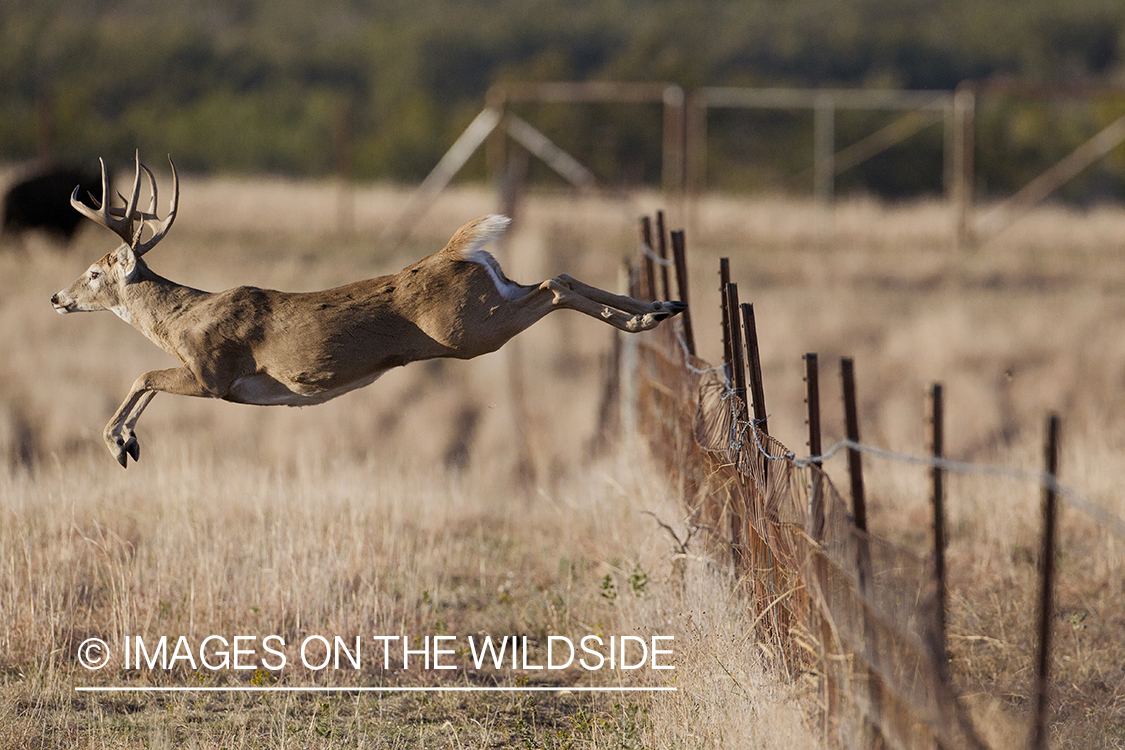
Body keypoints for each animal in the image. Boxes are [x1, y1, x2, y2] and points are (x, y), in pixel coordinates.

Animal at [50, 155, 684, 465]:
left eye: (93, 272)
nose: (57, 298)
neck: (181, 321)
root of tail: (455, 251)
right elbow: (145, 377)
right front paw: (126, 443)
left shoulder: (215, 374)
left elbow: (143, 374)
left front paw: (120, 444)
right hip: (491, 300)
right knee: (559, 276)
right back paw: (659, 306)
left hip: (469, 330)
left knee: (554, 285)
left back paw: (647, 314)